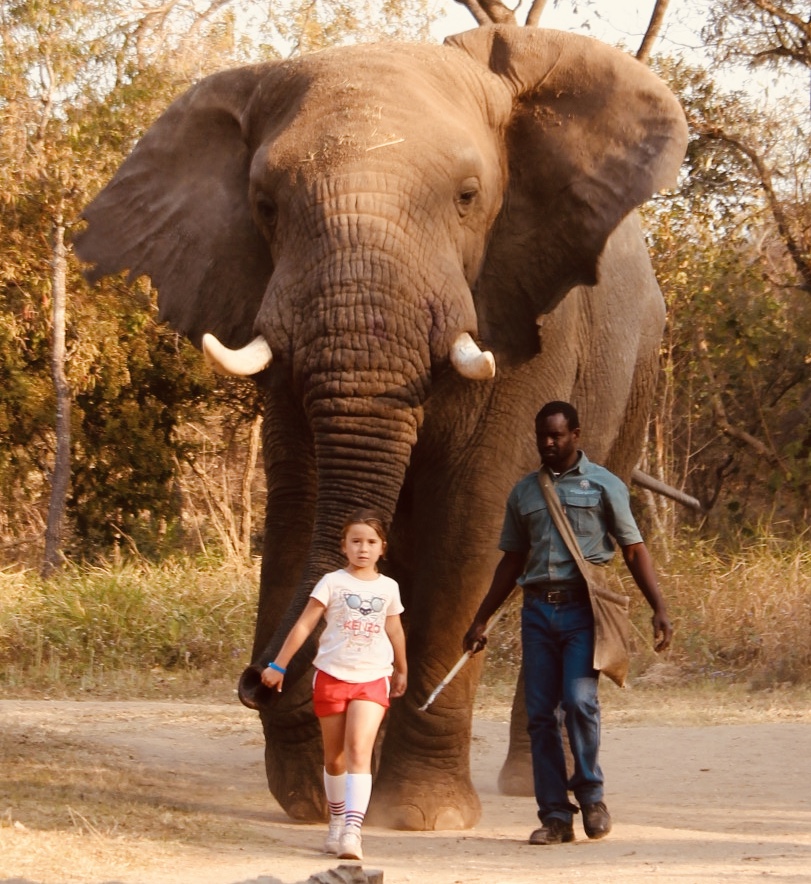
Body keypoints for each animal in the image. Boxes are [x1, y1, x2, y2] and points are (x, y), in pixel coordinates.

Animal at [74, 24, 684, 832]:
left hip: (638, 369)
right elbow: (301, 501)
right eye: (265, 206)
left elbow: (473, 520)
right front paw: (314, 791)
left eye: (467, 199)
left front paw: (425, 817)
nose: (255, 679)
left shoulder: (534, 313)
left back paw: (520, 785)